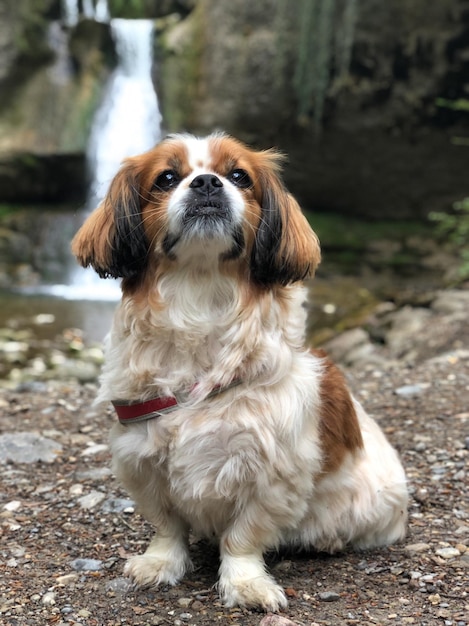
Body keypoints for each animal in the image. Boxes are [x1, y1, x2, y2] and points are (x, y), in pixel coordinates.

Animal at [71, 133, 408, 608]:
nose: (207, 183)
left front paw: (245, 583)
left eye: (238, 176)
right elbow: (167, 525)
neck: (200, 293)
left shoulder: (271, 473)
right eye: (167, 178)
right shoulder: (141, 456)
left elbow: (243, 537)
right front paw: (161, 563)